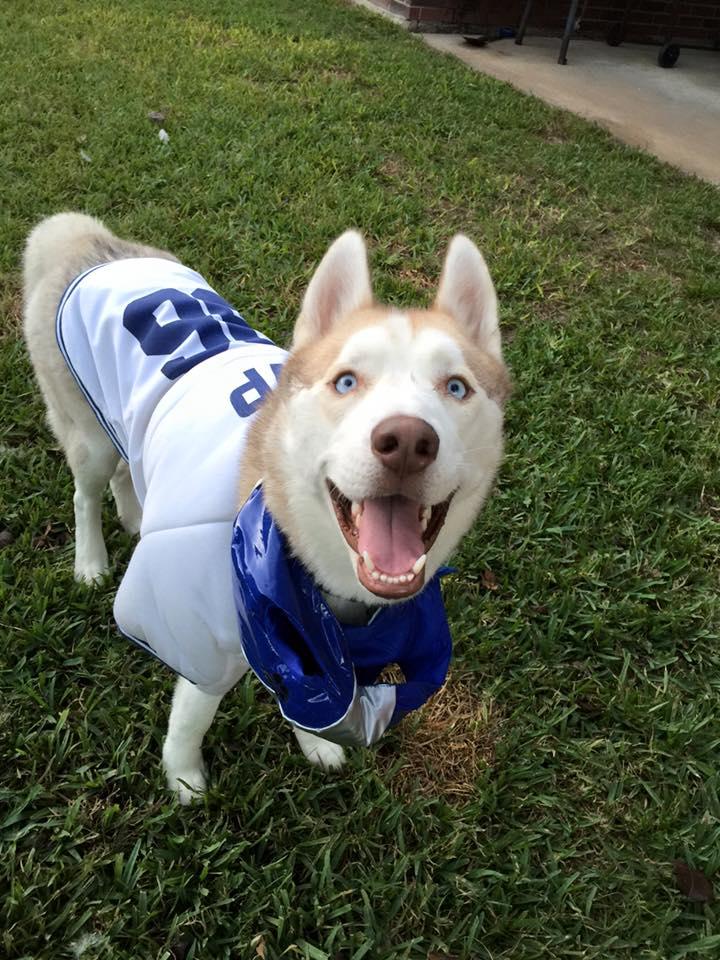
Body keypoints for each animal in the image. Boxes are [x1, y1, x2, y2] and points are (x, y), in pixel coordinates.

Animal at [22, 212, 506, 804]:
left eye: (456, 387)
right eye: (346, 381)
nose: (408, 442)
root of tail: (85, 237)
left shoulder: (312, 642)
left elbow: (313, 693)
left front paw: (314, 742)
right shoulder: (201, 635)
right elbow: (193, 715)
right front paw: (183, 779)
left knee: (124, 472)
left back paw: (136, 515)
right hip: (87, 434)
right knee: (84, 491)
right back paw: (90, 561)